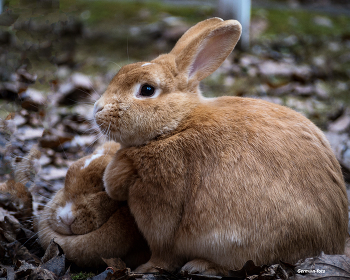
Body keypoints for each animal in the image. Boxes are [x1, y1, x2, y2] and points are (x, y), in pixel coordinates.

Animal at [93, 18, 350, 276]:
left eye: (147, 90)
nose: (97, 108)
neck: (174, 126)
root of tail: (333, 241)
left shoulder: (162, 214)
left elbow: (163, 253)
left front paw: (144, 268)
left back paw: (200, 265)